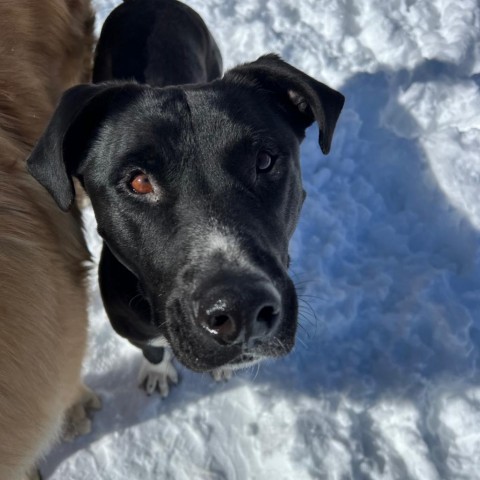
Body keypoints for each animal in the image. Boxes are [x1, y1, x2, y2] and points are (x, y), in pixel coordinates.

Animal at [27, 0, 344, 396]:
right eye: (139, 182)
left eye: (264, 161)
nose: (241, 309)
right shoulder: (133, 328)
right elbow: (153, 350)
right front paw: (159, 372)